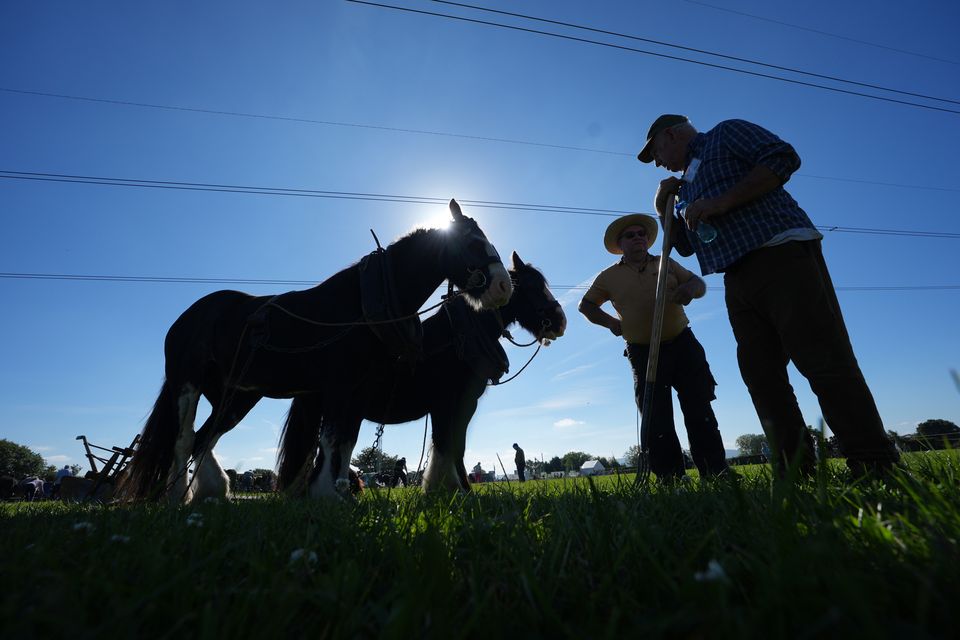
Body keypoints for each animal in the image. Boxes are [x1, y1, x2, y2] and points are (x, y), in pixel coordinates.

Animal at [116, 202, 512, 502]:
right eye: (472, 242)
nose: (503, 287)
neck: (362, 304)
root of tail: (186, 317)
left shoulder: (359, 389)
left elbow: (346, 441)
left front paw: (340, 492)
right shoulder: (338, 385)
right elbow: (331, 440)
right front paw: (328, 495)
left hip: (237, 397)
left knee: (205, 438)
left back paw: (211, 492)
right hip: (188, 381)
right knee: (184, 439)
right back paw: (176, 496)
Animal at [274, 252, 568, 498]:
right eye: (531, 287)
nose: (560, 321)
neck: (457, 341)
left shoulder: (460, 406)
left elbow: (454, 445)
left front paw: (453, 487)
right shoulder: (448, 403)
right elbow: (448, 444)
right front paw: (452, 488)